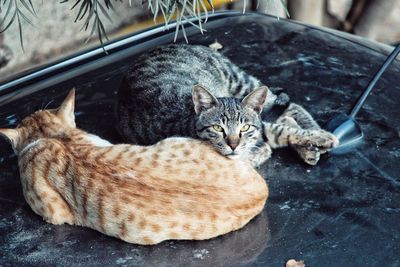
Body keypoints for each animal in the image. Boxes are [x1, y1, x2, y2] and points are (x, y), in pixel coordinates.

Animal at [116, 45, 338, 168]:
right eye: (217, 128)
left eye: (244, 127)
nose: (233, 145)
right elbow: (277, 134)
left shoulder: (257, 129)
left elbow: (282, 131)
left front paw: (322, 137)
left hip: (241, 81)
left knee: (291, 106)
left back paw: (315, 133)